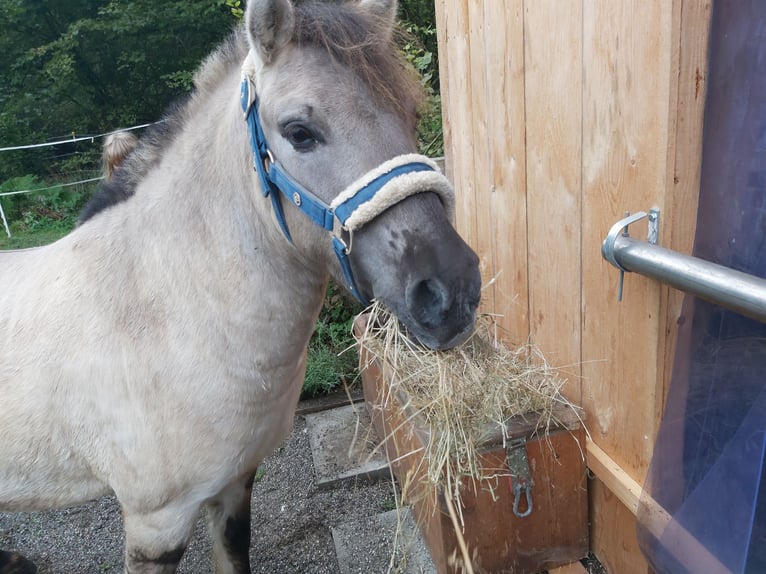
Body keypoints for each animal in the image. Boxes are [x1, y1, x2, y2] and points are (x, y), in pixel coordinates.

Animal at [0, 0, 481, 572]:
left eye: (408, 114)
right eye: (299, 132)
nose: (451, 290)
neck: (161, 314)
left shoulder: (234, 485)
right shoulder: (155, 526)